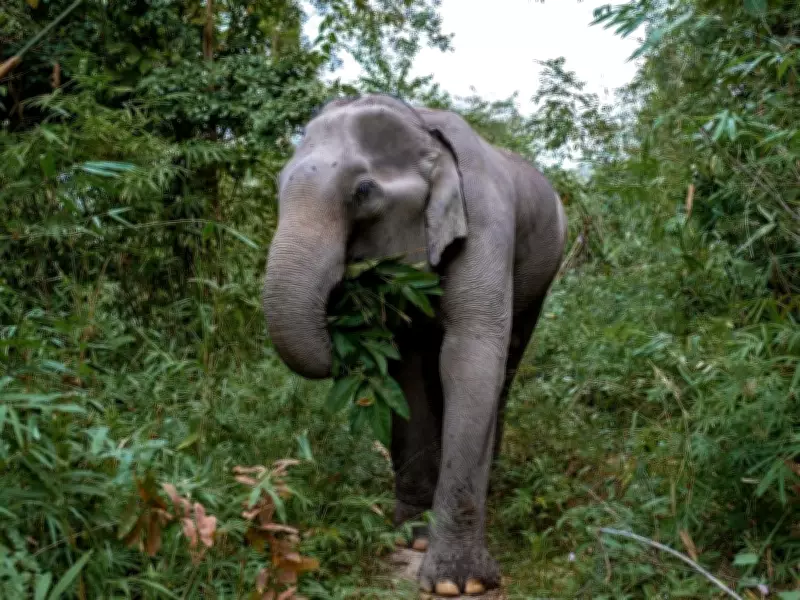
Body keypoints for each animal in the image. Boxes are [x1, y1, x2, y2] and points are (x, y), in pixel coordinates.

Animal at [262, 93, 567, 596]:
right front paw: (412, 536)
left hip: (543, 273)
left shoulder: (485, 222)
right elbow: (406, 366)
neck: (422, 129)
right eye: (278, 185)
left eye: (364, 191)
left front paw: (458, 582)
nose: (343, 302)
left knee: (509, 361)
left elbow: (470, 356)